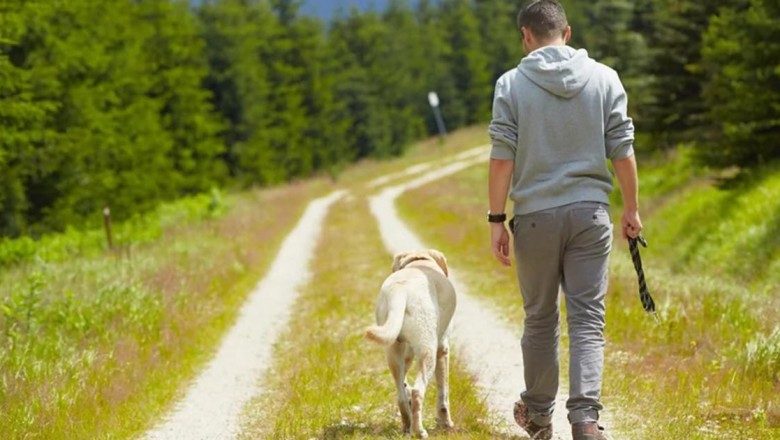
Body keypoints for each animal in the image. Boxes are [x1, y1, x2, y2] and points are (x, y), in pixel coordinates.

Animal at [366, 249, 458, 438]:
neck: (419, 260)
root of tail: (400, 290)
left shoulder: (407, 352)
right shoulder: (443, 349)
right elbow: (443, 395)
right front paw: (446, 424)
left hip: (393, 351)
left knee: (401, 394)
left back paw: (406, 426)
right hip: (428, 352)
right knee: (417, 392)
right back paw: (419, 431)